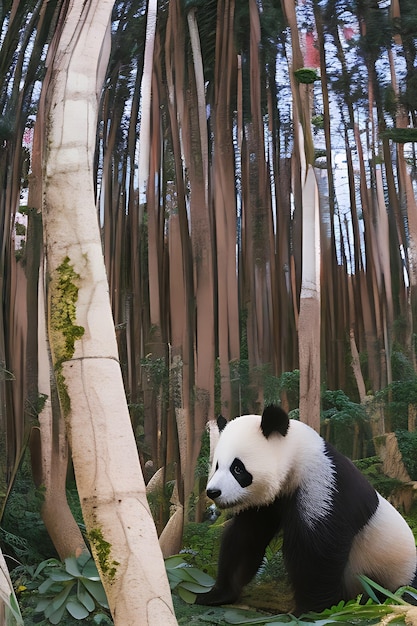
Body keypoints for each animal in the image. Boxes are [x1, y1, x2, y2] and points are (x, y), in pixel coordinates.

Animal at [195, 402, 416, 612]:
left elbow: (318, 549)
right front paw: (217, 595)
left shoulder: (322, 484)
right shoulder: (268, 503)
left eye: (238, 468)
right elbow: (247, 537)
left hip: (394, 572)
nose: (213, 492)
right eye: (217, 466)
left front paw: (312, 609)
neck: (296, 454)